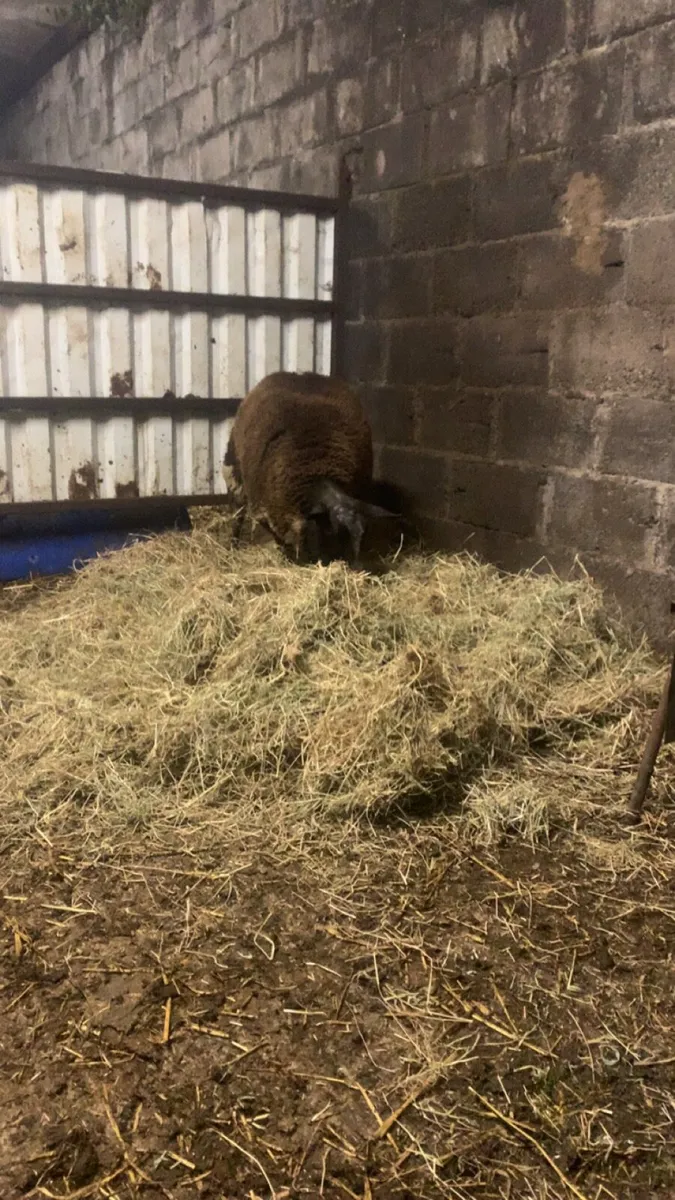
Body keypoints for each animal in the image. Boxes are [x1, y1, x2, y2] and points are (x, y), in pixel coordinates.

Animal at [224, 371, 393, 565]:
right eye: (332, 530)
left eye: (363, 535)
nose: (353, 565)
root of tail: (297, 374)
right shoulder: (267, 510)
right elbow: (279, 537)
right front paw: (289, 556)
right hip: (235, 471)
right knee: (238, 512)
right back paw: (233, 545)